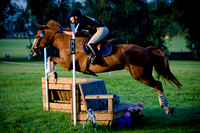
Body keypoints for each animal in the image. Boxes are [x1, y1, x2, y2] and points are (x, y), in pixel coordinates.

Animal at [30, 20, 182, 115]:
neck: (67, 42)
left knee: (158, 84)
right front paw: (52, 75)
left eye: (37, 36)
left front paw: (52, 75)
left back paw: (167, 108)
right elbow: (51, 58)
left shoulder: (68, 64)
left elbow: (51, 57)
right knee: (158, 84)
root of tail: (146, 49)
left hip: (141, 75)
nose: (32, 51)